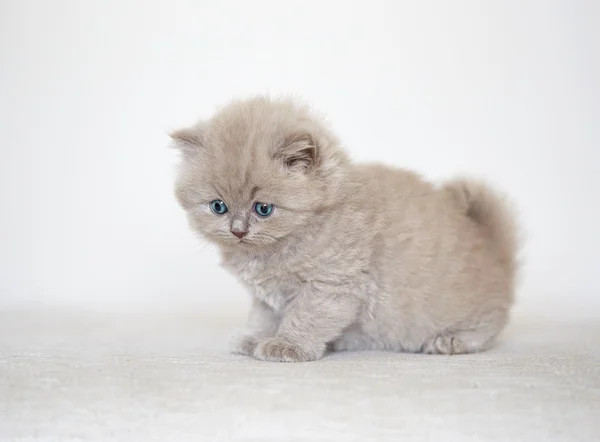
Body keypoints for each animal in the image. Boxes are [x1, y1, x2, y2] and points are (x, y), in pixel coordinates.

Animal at [171, 95, 516, 360]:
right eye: (218, 207)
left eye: (263, 209)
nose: (238, 230)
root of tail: (493, 245)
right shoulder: (266, 297)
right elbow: (263, 317)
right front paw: (253, 339)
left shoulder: (332, 285)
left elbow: (305, 317)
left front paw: (286, 346)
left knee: (490, 327)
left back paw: (449, 341)